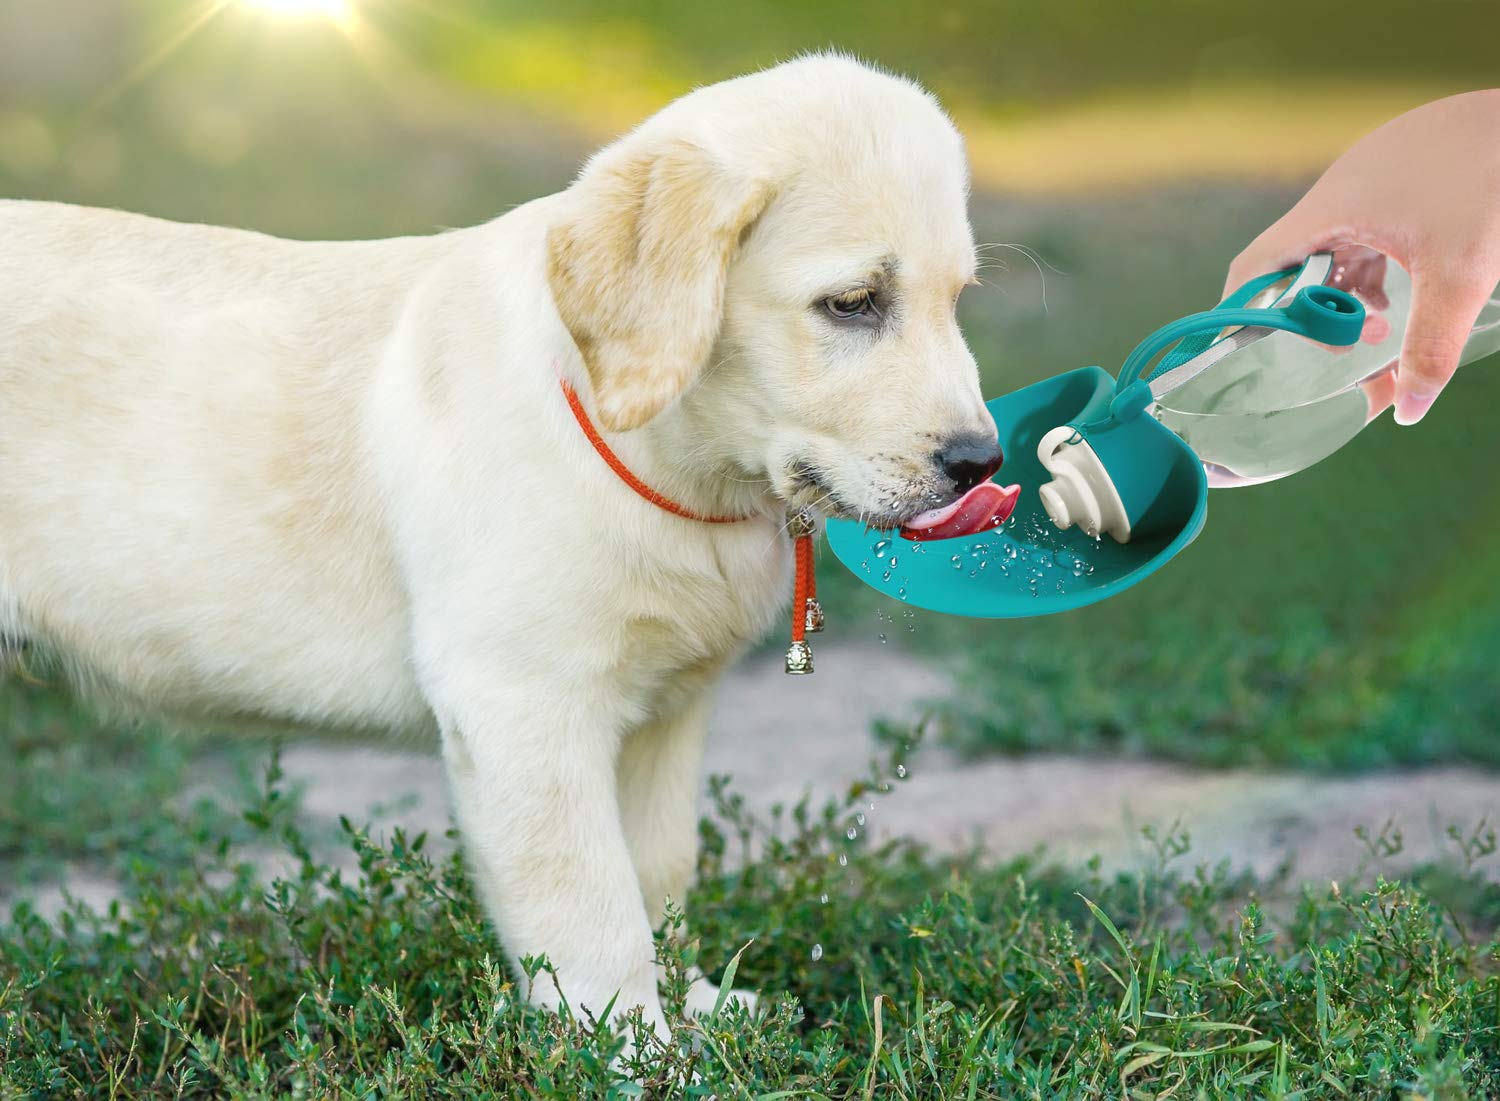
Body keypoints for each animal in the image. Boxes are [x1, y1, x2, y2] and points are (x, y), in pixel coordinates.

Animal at [0, 51, 996, 1032]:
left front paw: (696, 1007)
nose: (981, 461)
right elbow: (593, 907)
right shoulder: (524, 704)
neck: (666, 459)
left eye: (957, 301)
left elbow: (660, 869)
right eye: (854, 302)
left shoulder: (668, 711)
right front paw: (635, 1050)